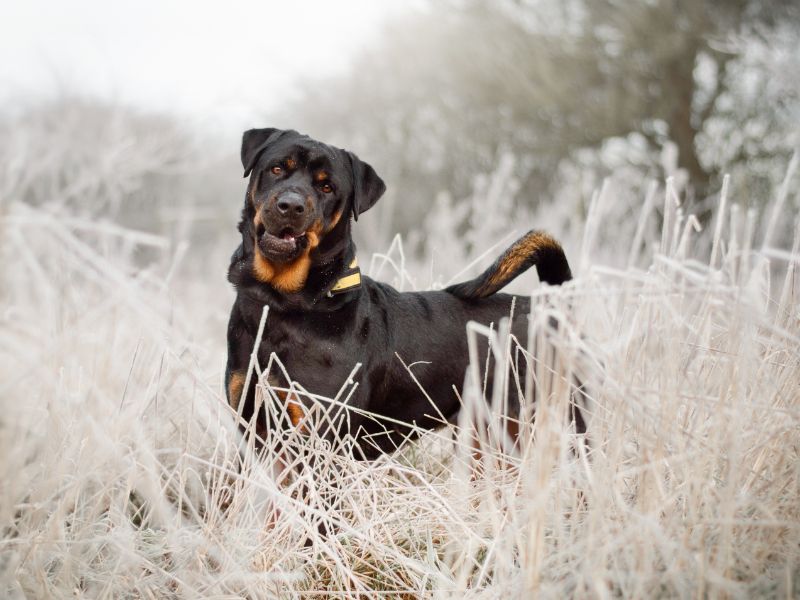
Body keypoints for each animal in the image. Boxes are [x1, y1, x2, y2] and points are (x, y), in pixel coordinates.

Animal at [225, 127, 580, 460]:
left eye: (327, 188)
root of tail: (553, 306)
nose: (291, 205)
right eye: (276, 169)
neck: (285, 302)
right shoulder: (253, 428)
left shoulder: (323, 438)